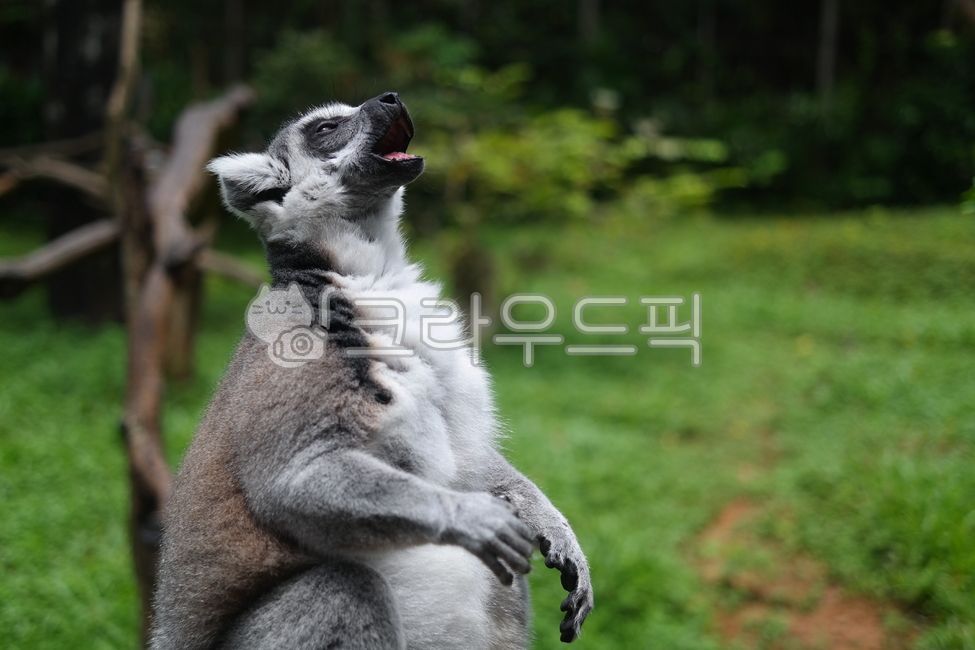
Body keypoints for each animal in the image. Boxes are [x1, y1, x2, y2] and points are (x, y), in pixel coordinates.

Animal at [151, 92, 593, 650]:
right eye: (326, 128)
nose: (392, 98)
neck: (368, 275)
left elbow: (469, 462)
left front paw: (554, 529)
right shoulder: (299, 351)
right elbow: (294, 482)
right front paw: (472, 517)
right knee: (346, 590)